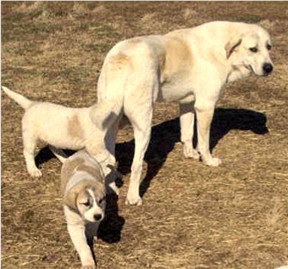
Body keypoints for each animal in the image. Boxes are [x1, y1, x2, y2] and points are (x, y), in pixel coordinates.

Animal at [91, 21, 274, 204]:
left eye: (269, 47)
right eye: (253, 49)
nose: (269, 68)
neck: (222, 49)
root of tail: (120, 58)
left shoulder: (187, 103)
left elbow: (186, 134)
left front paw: (190, 154)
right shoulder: (205, 106)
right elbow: (204, 142)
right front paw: (208, 160)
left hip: (111, 127)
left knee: (108, 161)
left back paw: (111, 189)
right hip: (143, 125)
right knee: (136, 165)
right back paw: (133, 197)